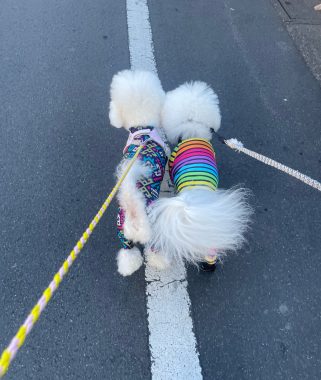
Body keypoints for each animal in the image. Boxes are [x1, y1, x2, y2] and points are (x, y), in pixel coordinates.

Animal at [109, 69, 169, 276]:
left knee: (128, 254)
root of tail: (136, 215)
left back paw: (127, 267)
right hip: (156, 231)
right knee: (154, 250)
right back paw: (161, 261)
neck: (142, 127)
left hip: (121, 228)